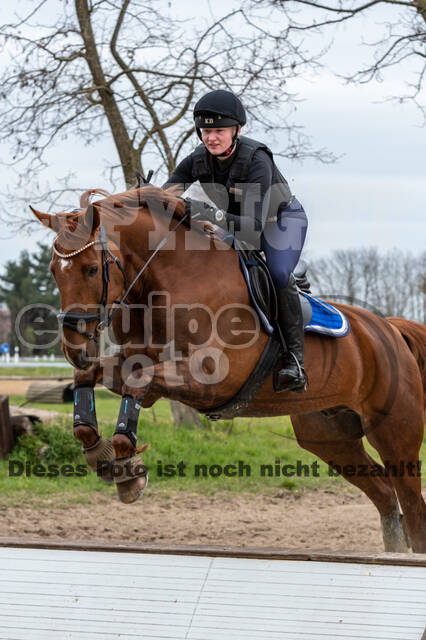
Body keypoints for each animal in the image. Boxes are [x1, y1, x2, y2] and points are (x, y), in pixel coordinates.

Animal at [30, 186, 426, 556]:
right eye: (53, 272)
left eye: (92, 269)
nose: (73, 348)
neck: (172, 280)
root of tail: (389, 329)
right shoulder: (144, 368)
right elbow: (94, 379)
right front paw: (98, 450)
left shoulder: (210, 379)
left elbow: (137, 382)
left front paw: (127, 465)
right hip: (330, 437)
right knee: (385, 495)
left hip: (395, 433)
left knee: (412, 505)